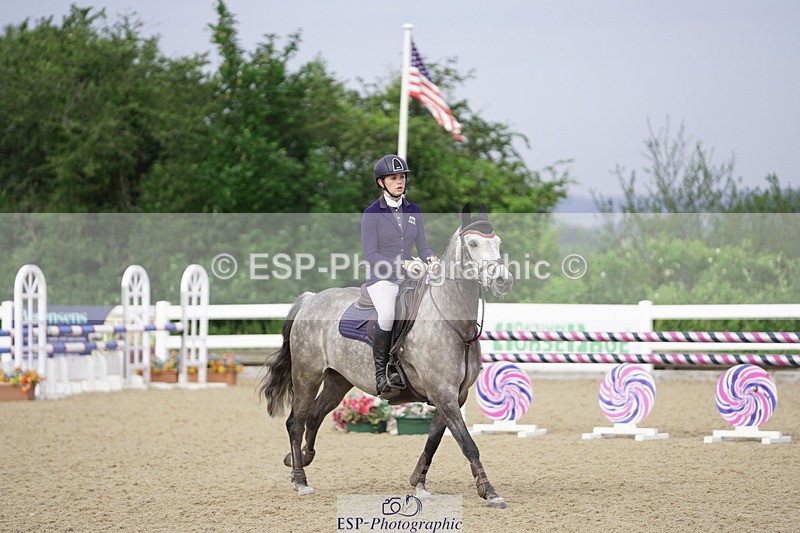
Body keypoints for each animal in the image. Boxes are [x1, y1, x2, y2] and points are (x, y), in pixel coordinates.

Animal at [259, 205, 514, 508]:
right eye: (473, 244)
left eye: (498, 242)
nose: (503, 280)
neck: (452, 321)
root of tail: (310, 299)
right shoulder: (443, 392)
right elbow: (467, 443)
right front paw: (490, 492)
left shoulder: (455, 395)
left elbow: (434, 439)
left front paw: (419, 483)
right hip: (307, 374)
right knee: (296, 422)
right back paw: (300, 480)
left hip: (338, 380)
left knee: (315, 415)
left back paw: (300, 460)